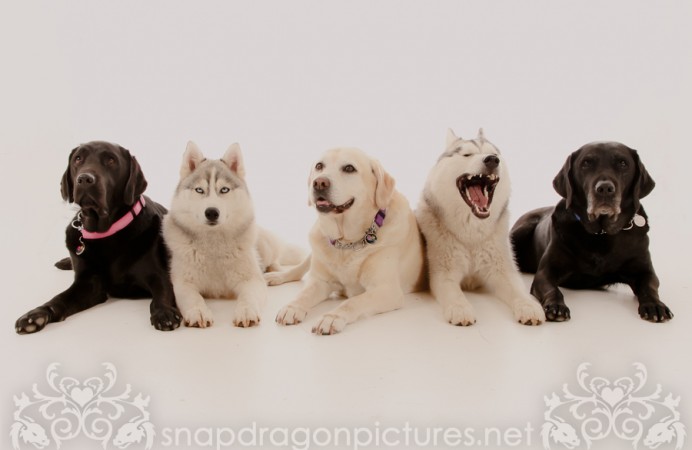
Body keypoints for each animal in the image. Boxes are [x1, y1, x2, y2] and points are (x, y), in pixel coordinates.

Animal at [15, 141, 182, 334]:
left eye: (111, 160)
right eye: (78, 159)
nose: (85, 179)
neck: (105, 233)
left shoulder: (159, 275)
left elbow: (162, 294)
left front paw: (164, 312)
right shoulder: (88, 283)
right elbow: (60, 298)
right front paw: (36, 314)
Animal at [163, 141, 303, 328]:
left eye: (224, 190)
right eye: (199, 190)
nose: (212, 212)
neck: (213, 244)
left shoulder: (251, 281)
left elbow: (248, 297)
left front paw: (246, 311)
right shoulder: (183, 283)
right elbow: (193, 298)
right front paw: (198, 311)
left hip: (265, 247)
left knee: (275, 261)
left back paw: (275, 273)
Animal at [274, 147, 426, 335]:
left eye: (349, 168)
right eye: (319, 166)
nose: (319, 183)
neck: (347, 242)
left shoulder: (387, 290)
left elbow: (352, 302)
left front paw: (332, 317)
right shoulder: (320, 282)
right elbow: (304, 294)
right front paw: (292, 307)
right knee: (299, 269)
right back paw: (276, 276)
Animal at [416, 129, 545, 326]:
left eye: (494, 153)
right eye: (467, 154)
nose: (492, 160)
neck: (471, 235)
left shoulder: (503, 271)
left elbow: (518, 291)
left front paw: (528, 306)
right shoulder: (443, 274)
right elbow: (455, 294)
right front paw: (460, 308)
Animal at [510, 141, 672, 322]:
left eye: (623, 163)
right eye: (586, 163)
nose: (605, 188)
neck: (601, 234)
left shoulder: (645, 271)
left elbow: (649, 287)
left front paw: (655, 305)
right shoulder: (546, 272)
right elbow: (553, 289)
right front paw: (556, 306)